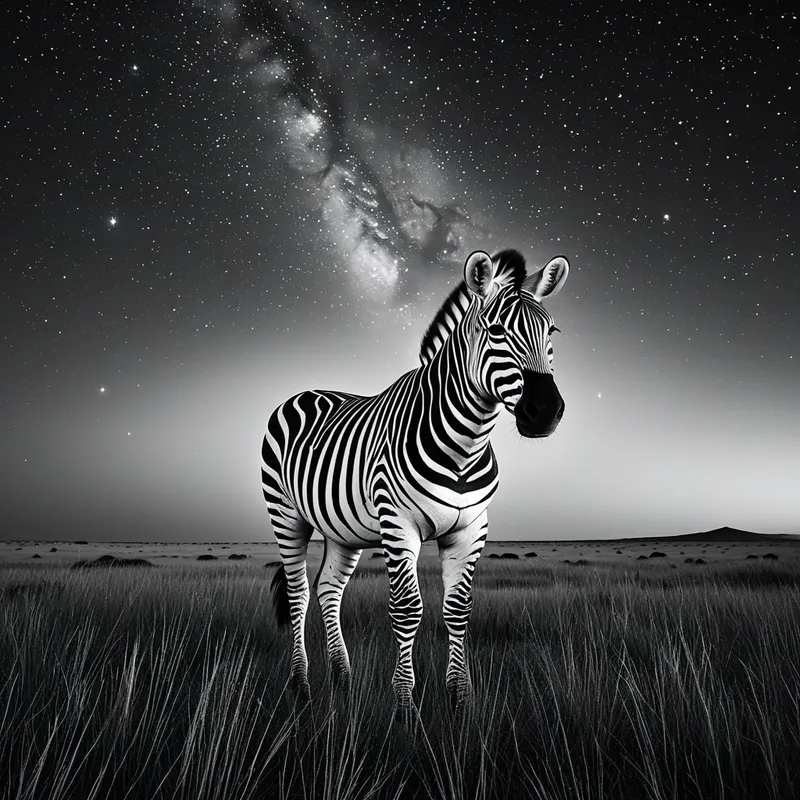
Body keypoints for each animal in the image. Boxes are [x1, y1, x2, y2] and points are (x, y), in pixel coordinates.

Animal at [262, 248, 569, 717]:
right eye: (495, 330)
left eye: (551, 331)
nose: (546, 411)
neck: (465, 445)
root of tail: (306, 392)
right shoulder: (397, 523)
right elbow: (407, 610)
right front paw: (405, 705)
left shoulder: (471, 528)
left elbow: (458, 609)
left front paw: (460, 699)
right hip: (285, 512)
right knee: (297, 594)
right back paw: (301, 686)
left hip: (342, 529)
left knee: (329, 590)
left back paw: (343, 681)